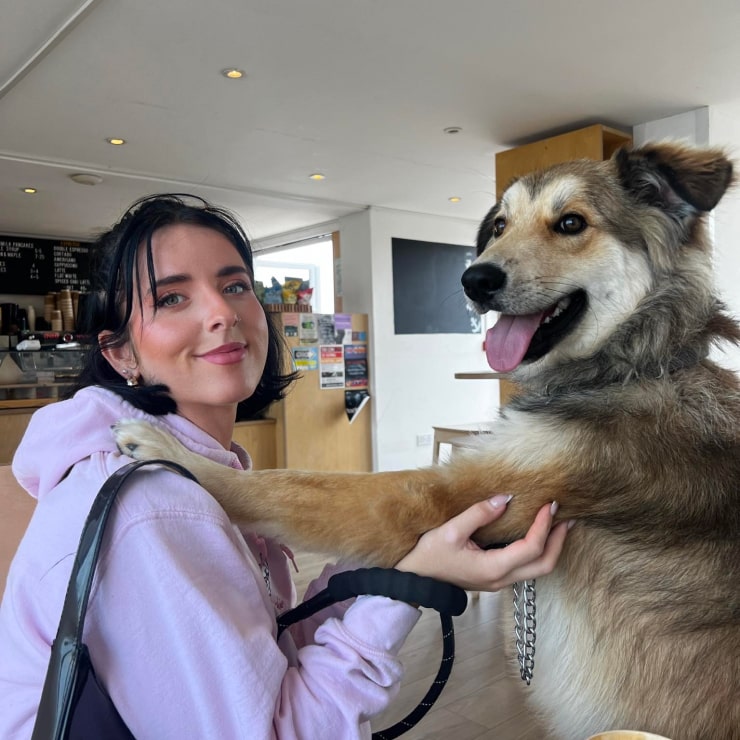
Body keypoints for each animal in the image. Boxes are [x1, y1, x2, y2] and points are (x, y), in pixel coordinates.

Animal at [114, 143, 740, 740]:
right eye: (499, 226)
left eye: (571, 223)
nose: (473, 280)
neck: (636, 367)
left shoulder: (437, 495)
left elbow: (282, 484)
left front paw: (171, 450)